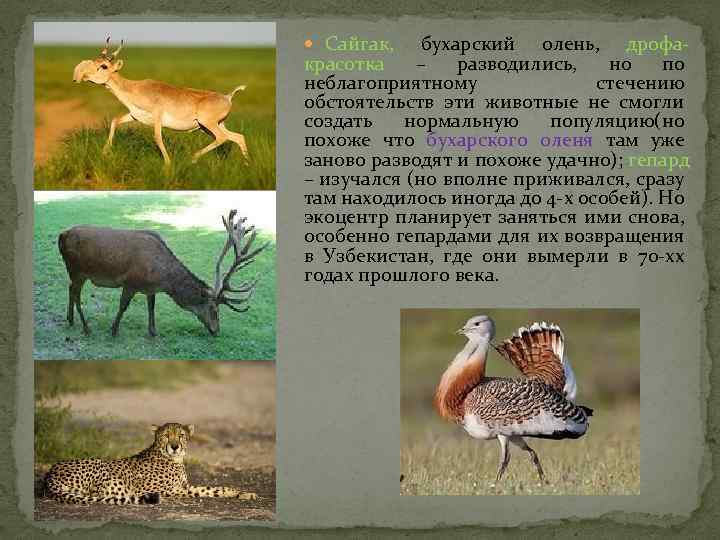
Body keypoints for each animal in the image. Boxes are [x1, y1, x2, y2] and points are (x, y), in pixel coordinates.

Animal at [58, 210, 268, 337]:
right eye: (214, 309)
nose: (216, 331)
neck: (162, 279)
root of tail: (62, 235)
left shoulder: (149, 288)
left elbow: (151, 307)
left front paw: (153, 331)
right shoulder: (130, 282)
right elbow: (123, 306)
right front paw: (114, 330)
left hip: (75, 271)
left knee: (69, 289)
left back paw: (70, 319)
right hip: (77, 269)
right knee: (76, 294)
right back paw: (85, 327)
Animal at [72, 37, 249, 165]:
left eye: (104, 66)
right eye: (94, 61)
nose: (82, 76)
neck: (134, 88)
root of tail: (227, 97)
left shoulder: (157, 119)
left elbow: (157, 137)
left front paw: (168, 164)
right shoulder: (134, 116)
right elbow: (115, 121)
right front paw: (104, 153)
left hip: (208, 124)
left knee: (223, 138)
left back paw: (193, 158)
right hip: (211, 126)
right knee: (238, 137)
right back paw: (247, 165)